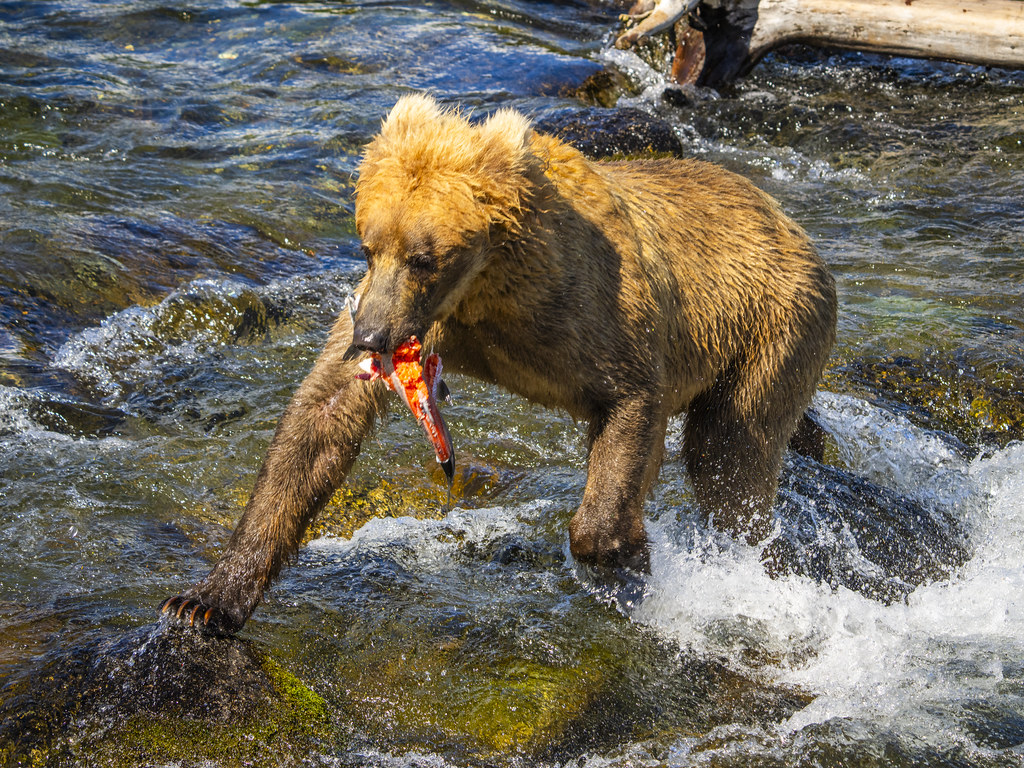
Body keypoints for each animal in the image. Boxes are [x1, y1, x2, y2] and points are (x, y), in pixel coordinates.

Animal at [162, 94, 837, 634]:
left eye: (424, 257)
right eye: (368, 244)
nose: (371, 336)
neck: (487, 287)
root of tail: (793, 224)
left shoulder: (591, 309)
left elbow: (629, 401)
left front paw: (627, 556)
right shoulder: (420, 320)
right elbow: (318, 423)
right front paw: (204, 600)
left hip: (774, 322)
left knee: (730, 448)